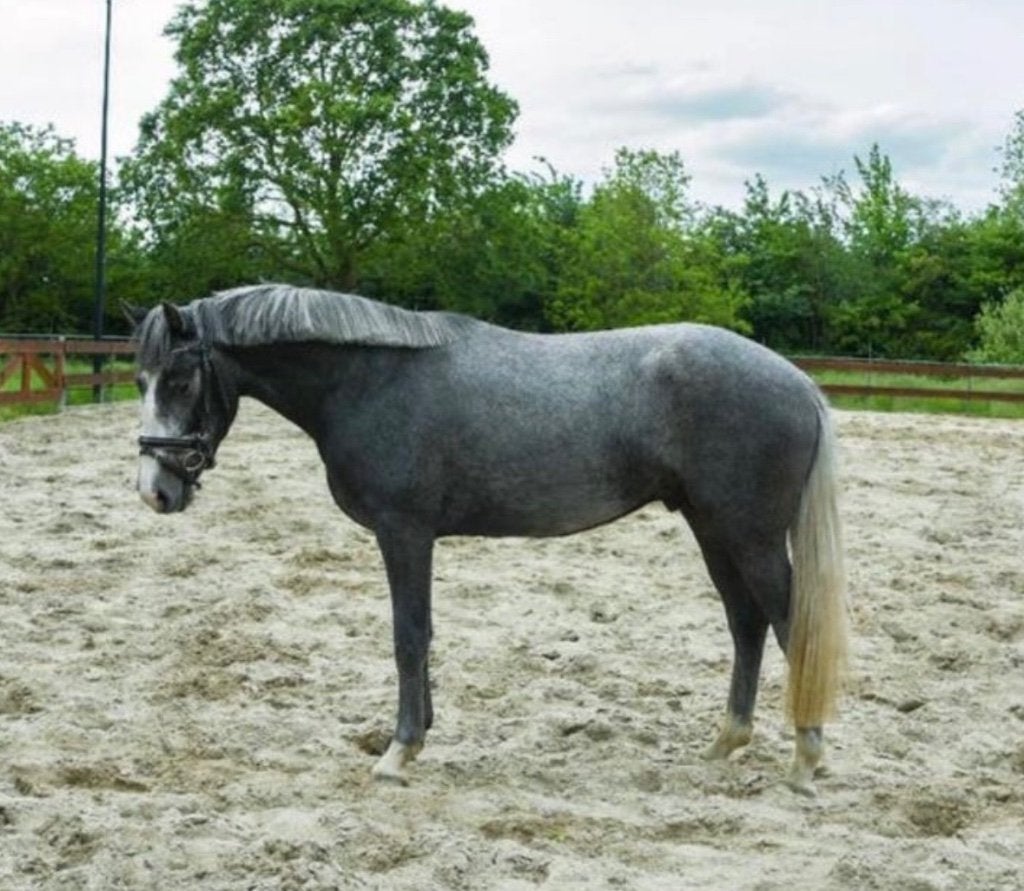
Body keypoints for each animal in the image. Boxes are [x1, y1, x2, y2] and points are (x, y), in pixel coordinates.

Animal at [131, 284, 848, 795]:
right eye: (141, 381)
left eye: (181, 379)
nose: (154, 490)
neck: (370, 380)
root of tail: (797, 382)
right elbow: (419, 637)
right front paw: (417, 735)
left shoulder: (404, 533)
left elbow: (409, 636)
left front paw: (399, 752)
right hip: (712, 528)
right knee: (746, 623)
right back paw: (727, 742)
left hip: (749, 536)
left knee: (790, 625)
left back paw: (806, 760)